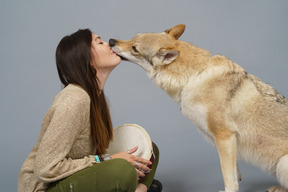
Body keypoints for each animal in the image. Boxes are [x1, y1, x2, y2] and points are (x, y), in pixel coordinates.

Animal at [108, 24, 288, 192]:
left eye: (135, 48)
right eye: (134, 36)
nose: (110, 41)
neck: (195, 76)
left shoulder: (224, 136)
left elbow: (227, 175)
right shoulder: (228, 141)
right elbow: (234, 169)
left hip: (282, 164)